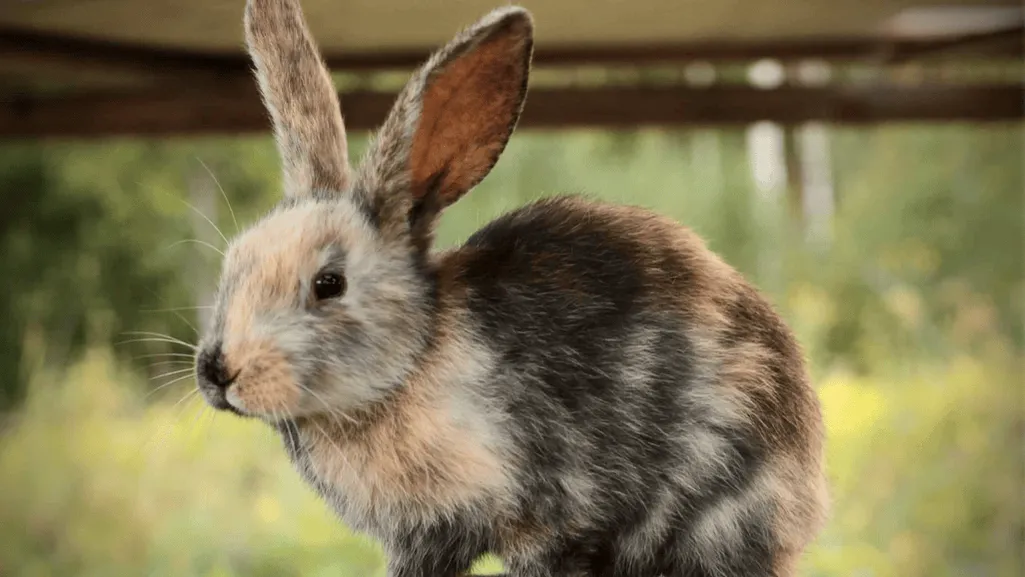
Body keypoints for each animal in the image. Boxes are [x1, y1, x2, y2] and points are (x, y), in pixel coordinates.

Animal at [193, 0, 830, 575]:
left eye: (329, 284)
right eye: (233, 263)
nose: (218, 371)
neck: (407, 369)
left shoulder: (542, 520)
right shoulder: (427, 539)